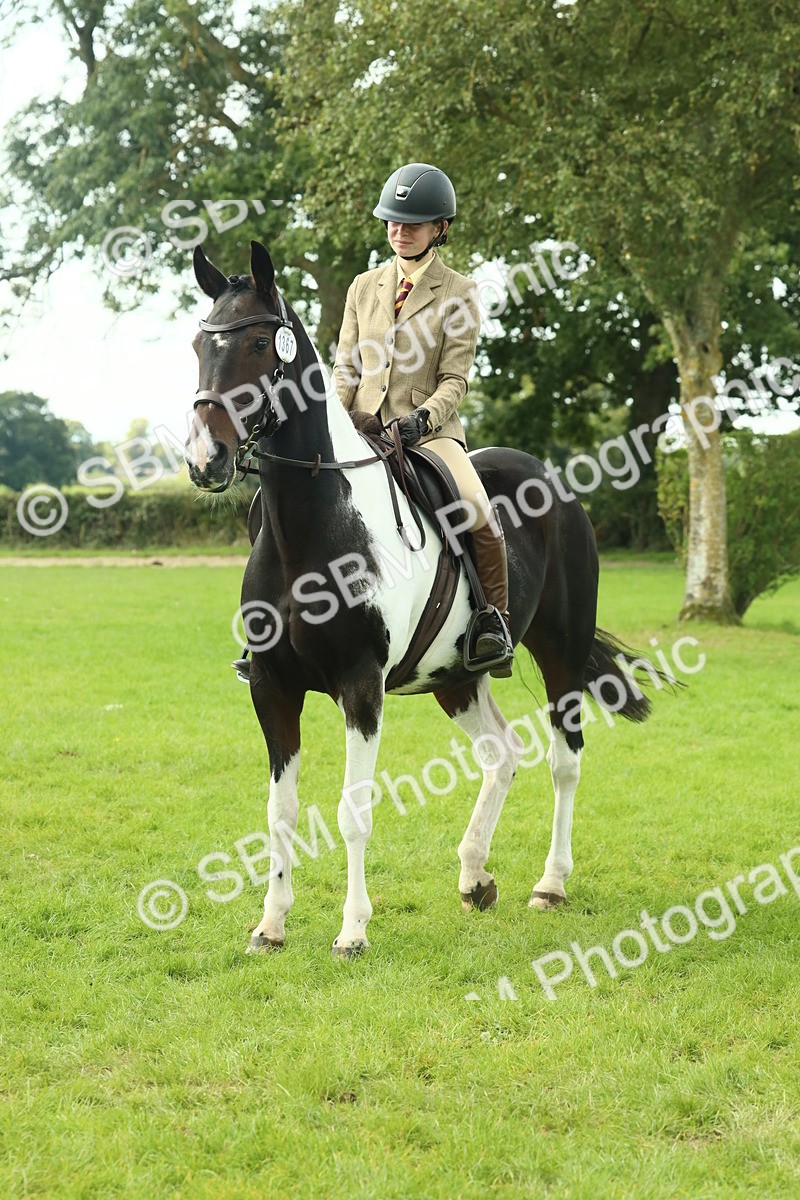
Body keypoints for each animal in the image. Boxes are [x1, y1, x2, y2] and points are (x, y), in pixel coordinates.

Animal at [185, 239, 662, 958]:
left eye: (263, 344)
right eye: (198, 344)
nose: (205, 459)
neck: (313, 531)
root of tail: (551, 477)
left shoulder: (361, 687)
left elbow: (353, 810)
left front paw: (353, 931)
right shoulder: (271, 686)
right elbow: (280, 811)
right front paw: (270, 925)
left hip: (561, 654)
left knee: (563, 760)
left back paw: (550, 885)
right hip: (456, 677)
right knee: (502, 755)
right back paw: (474, 878)